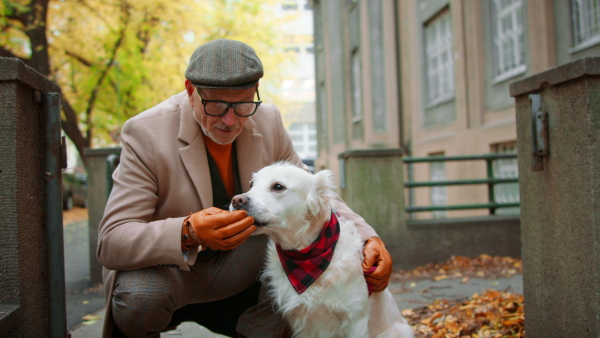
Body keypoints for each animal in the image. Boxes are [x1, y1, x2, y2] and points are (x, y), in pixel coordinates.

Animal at [232, 162, 414, 336]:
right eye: (252, 184)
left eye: (278, 186)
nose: (236, 200)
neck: (306, 257)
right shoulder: (302, 323)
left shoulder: (356, 321)